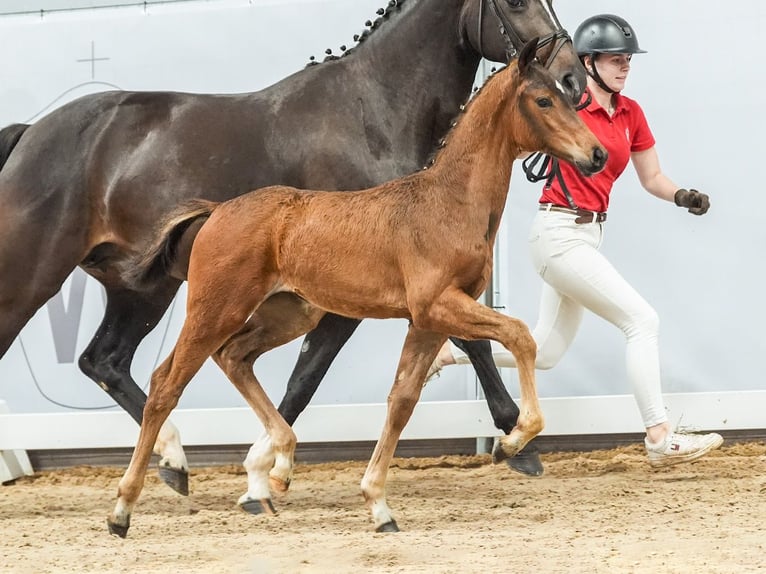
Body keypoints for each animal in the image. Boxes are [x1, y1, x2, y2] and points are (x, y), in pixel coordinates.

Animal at [0, 0, 584, 490]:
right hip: (34, 280)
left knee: (106, 360)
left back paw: (173, 462)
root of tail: (29, 133)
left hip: (141, 290)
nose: (574, 76)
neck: (372, 110)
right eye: (514, 2)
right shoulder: (368, 292)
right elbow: (309, 376)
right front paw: (517, 439)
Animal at [109, 38, 612, 536]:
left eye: (567, 95)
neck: (449, 202)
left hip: (288, 313)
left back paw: (279, 467)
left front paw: (379, 505)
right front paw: (511, 442)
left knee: (235, 357)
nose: (597, 154)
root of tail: (216, 211)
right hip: (215, 309)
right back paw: (124, 509)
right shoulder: (437, 306)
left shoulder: (428, 321)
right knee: (166, 384)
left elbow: (402, 399)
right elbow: (519, 335)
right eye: (543, 100)